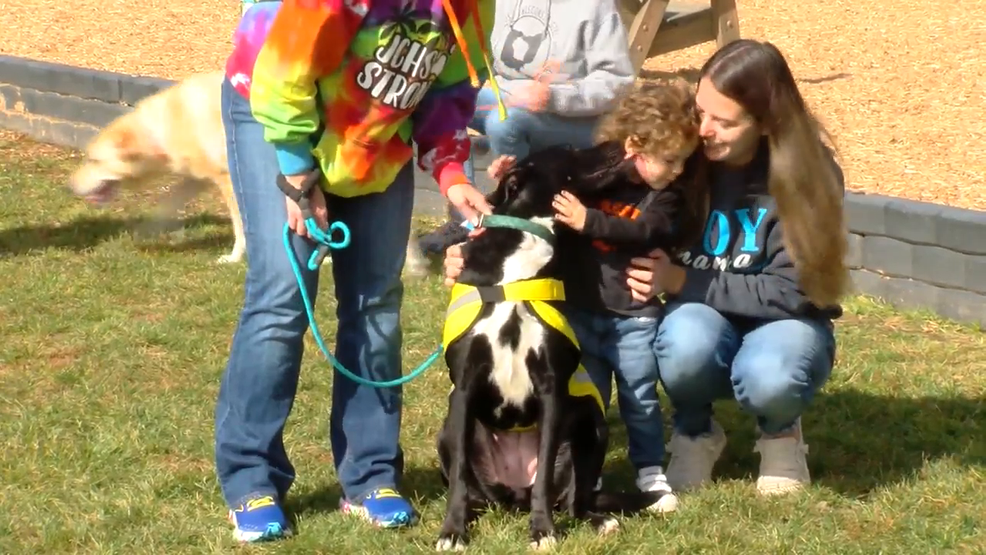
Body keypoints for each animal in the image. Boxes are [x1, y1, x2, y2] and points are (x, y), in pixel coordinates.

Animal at [432, 147, 668, 552]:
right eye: (570, 152)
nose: (618, 145)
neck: (519, 268)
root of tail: (514, 496)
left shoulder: (551, 388)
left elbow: (543, 473)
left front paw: (542, 530)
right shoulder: (464, 387)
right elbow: (460, 477)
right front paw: (453, 531)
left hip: (592, 423)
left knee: (575, 499)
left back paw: (598, 520)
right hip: (448, 430)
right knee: (473, 490)